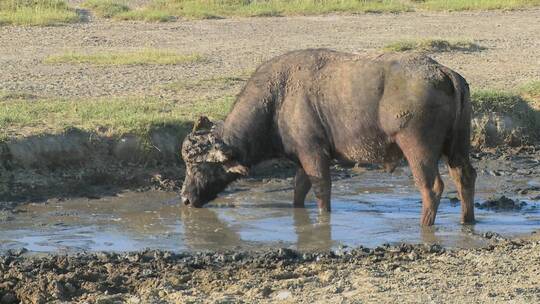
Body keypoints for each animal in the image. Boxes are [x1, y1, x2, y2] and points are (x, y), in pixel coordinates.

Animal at [181, 49, 476, 226]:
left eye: (198, 165)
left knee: (432, 187)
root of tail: (444, 72)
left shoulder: (314, 154)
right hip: (457, 146)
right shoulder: (302, 157)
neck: (277, 101)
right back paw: (467, 220)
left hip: (417, 149)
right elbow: (299, 189)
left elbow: (322, 189)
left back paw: (425, 225)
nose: (184, 198)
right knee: (465, 177)